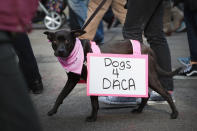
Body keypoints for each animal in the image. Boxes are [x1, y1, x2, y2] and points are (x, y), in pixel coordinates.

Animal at [43, 29, 181, 122]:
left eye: (67, 41)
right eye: (54, 41)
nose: (60, 51)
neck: (79, 51)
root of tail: (147, 48)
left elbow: (94, 103)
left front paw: (93, 117)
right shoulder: (72, 79)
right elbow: (61, 95)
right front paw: (52, 110)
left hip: (150, 77)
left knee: (166, 93)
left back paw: (175, 113)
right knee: (146, 95)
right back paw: (139, 110)